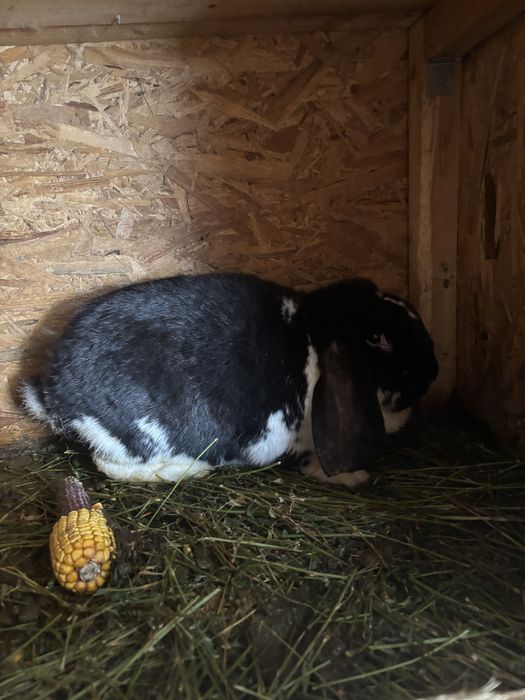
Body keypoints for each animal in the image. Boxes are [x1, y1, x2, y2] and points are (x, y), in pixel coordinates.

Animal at [21, 273, 438, 487]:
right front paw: (354, 478)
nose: (433, 370)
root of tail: (53, 395)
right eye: (376, 338)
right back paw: (188, 470)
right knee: (108, 465)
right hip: (143, 436)